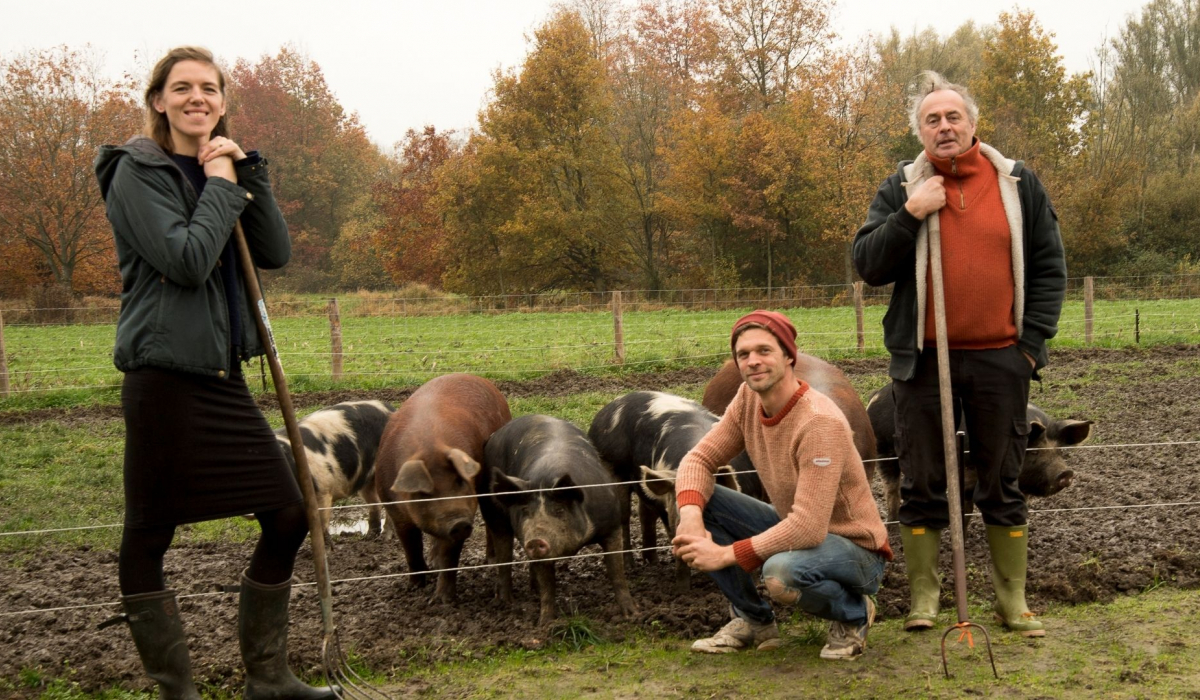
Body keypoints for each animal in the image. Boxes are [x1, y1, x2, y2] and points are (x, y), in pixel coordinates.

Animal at [273, 401, 393, 547]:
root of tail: (390, 408)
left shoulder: (323, 492)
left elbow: (320, 525)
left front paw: (327, 549)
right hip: (367, 478)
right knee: (374, 502)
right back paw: (369, 537)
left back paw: (384, 538)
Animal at [376, 374, 513, 605]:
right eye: (426, 492)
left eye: (459, 482)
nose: (459, 523)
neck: (429, 446)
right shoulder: (395, 510)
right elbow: (410, 546)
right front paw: (414, 587)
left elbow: (450, 555)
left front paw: (441, 601)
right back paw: (433, 563)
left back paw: (491, 561)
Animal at [482, 415, 643, 624]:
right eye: (525, 510)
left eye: (559, 510)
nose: (535, 540)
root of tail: (496, 434)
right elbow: (548, 586)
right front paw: (545, 624)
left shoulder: (612, 526)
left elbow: (617, 573)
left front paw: (633, 615)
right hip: (493, 512)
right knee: (504, 554)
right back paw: (505, 601)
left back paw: (531, 590)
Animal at [588, 389, 763, 590]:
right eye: (682, 509)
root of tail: (607, 410)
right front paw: (682, 589)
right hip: (612, 469)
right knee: (624, 518)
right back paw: (630, 566)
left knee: (645, 513)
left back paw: (653, 562)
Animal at [868, 386, 1094, 523]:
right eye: (1035, 450)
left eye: (1059, 451)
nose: (1066, 473)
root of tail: (875, 396)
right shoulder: (966, 472)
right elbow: (967, 505)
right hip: (884, 452)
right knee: (891, 489)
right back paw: (893, 524)